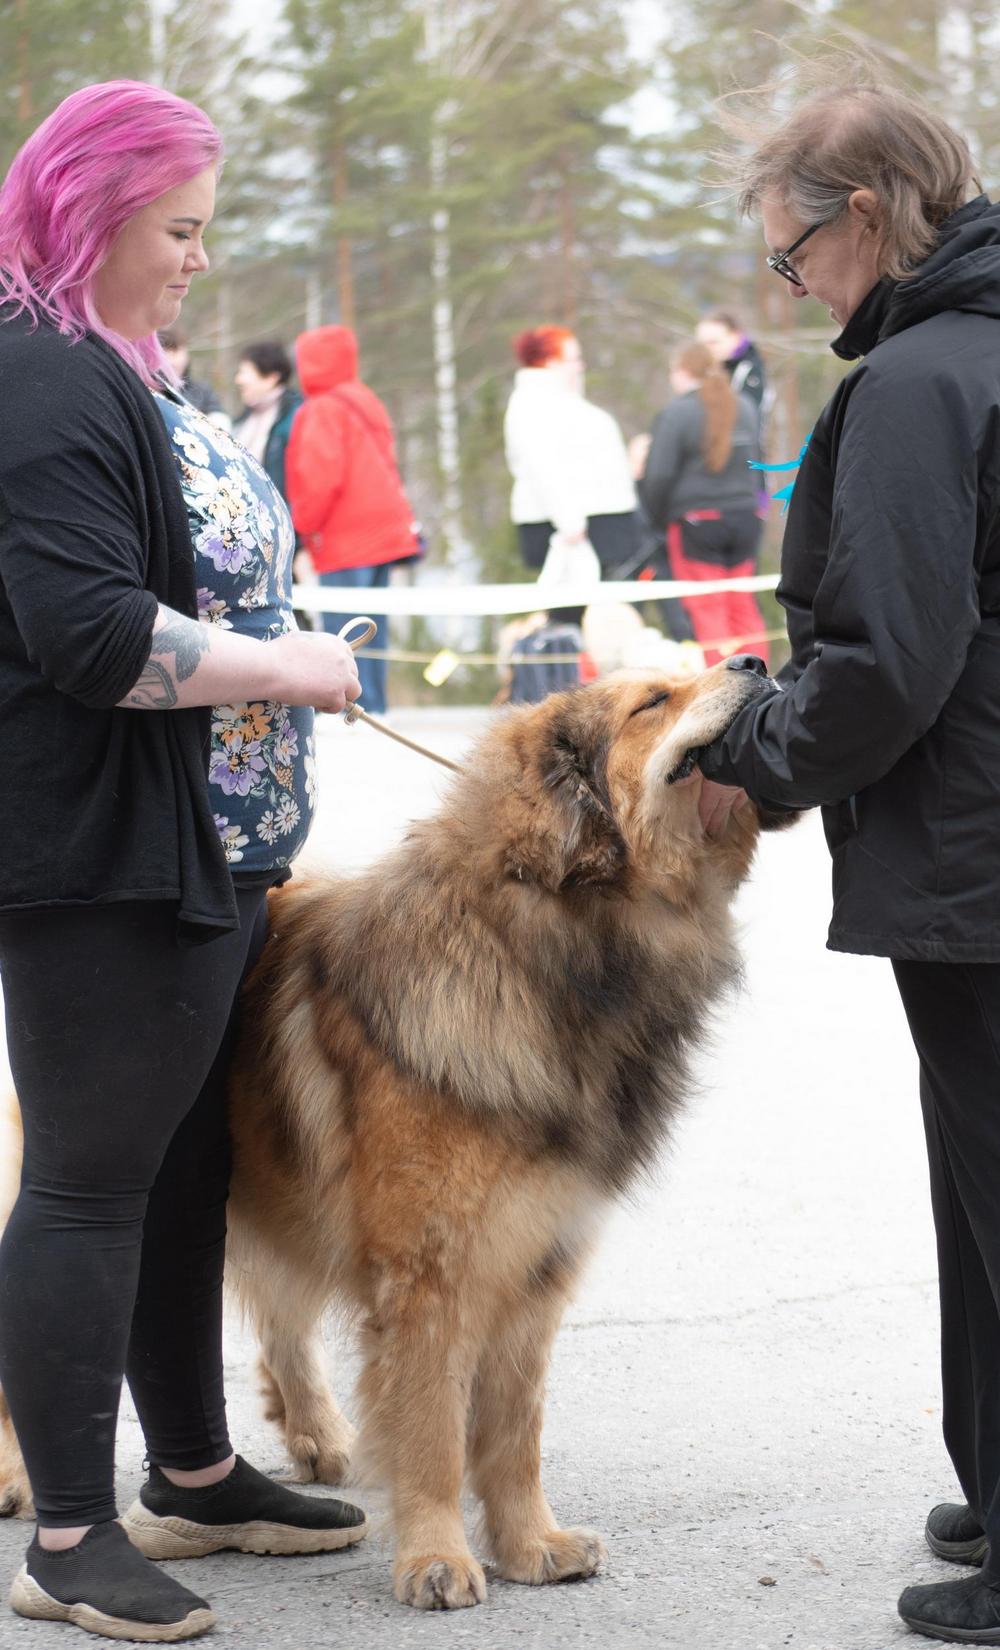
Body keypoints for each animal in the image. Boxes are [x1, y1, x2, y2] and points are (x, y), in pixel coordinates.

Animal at [0, 656, 781, 1610]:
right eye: (652, 703)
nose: (755, 662)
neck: (544, 948)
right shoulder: (431, 1274)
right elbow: (436, 1428)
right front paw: (437, 1558)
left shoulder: (536, 1262)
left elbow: (514, 1432)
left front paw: (531, 1542)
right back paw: (19, 1478)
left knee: (280, 1314)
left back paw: (312, 1438)